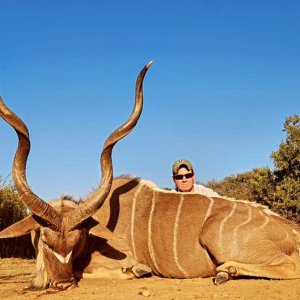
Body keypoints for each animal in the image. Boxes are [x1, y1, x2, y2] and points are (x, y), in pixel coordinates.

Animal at [0, 63, 300, 290]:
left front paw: (136, 271)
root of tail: (292, 232)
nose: (62, 284)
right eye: (45, 241)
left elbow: (115, 270)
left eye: (77, 241)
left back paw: (227, 270)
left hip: (215, 236)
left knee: (291, 266)